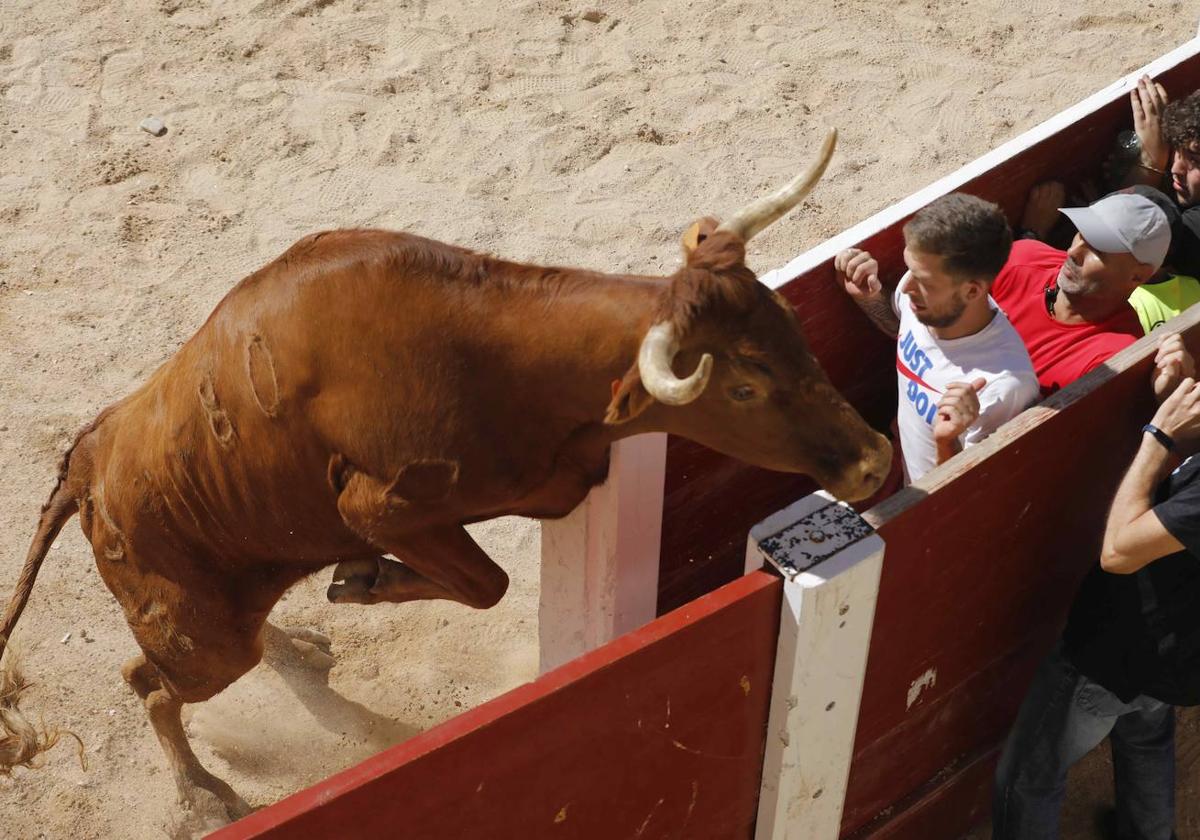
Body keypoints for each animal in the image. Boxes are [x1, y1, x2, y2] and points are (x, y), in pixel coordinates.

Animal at [0, 127, 892, 830]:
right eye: (742, 387)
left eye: (787, 321)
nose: (875, 459)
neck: (498, 356)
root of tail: (87, 460)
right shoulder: (381, 507)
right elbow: (487, 584)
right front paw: (364, 581)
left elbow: (482, 579)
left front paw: (356, 583)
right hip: (199, 638)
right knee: (148, 684)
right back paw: (201, 798)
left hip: (234, 594)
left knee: (233, 643)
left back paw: (297, 649)